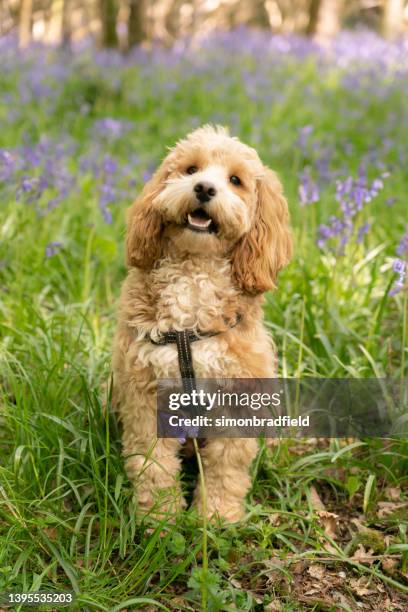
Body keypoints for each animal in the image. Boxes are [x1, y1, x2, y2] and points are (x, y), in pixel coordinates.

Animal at [111, 124, 290, 520]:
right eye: (191, 169)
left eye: (235, 180)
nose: (205, 188)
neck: (195, 271)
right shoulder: (146, 393)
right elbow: (152, 464)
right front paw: (158, 517)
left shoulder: (236, 397)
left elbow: (226, 466)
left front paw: (215, 517)